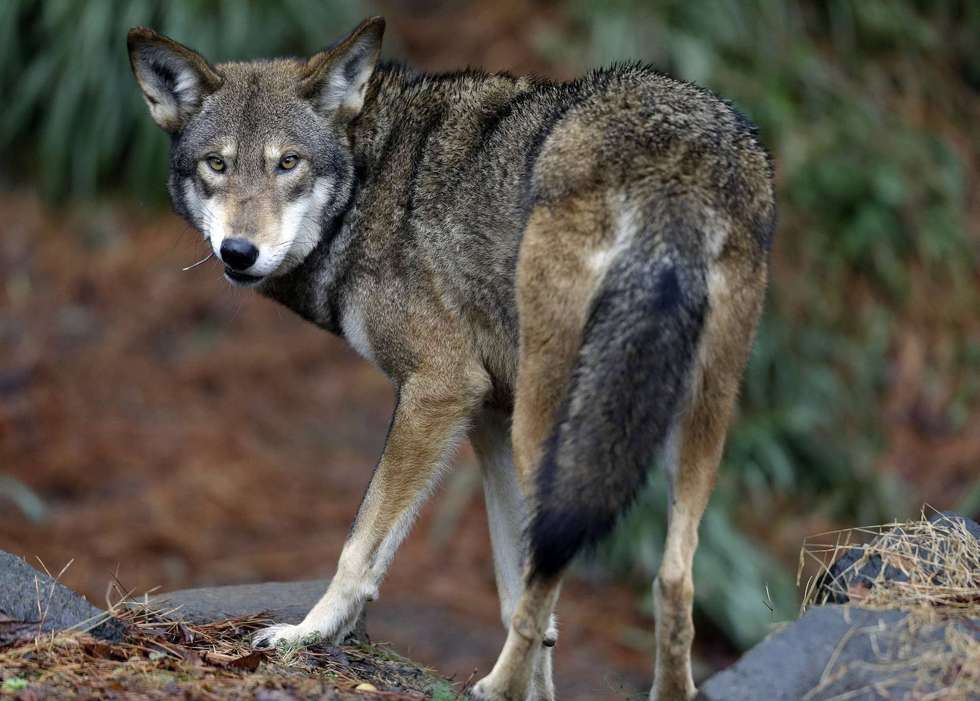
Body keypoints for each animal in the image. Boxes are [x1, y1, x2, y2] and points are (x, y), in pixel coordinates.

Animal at [128, 16, 775, 701]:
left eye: (288, 163)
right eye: (216, 164)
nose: (239, 251)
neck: (369, 182)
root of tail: (673, 163)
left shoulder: (440, 390)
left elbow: (363, 546)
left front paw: (307, 634)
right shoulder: (488, 418)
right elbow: (517, 588)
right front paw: (538, 691)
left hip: (552, 424)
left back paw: (493, 687)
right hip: (689, 422)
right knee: (672, 577)